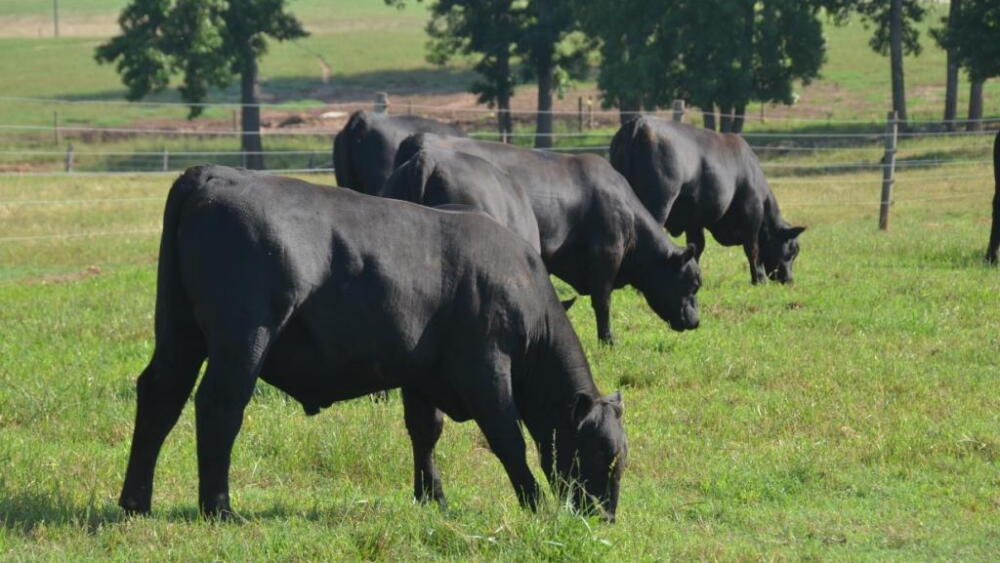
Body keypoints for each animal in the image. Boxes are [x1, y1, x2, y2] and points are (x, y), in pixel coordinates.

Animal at [118, 165, 627, 522]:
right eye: (603, 454)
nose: (604, 517)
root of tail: (212, 173)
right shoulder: (486, 369)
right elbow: (508, 437)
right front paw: (534, 502)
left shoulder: (421, 375)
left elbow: (425, 430)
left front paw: (431, 495)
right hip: (242, 339)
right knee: (219, 406)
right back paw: (219, 507)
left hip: (179, 331)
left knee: (160, 395)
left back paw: (136, 501)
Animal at [395, 134, 702, 344]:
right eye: (692, 283)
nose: (696, 322)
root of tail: (426, 156)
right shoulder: (606, 257)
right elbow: (602, 303)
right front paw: (607, 340)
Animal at [610, 116, 806, 285]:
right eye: (793, 249)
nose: (789, 280)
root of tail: (639, 123)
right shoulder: (752, 216)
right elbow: (752, 248)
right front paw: (759, 278)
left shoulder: (694, 221)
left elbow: (697, 246)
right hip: (659, 204)